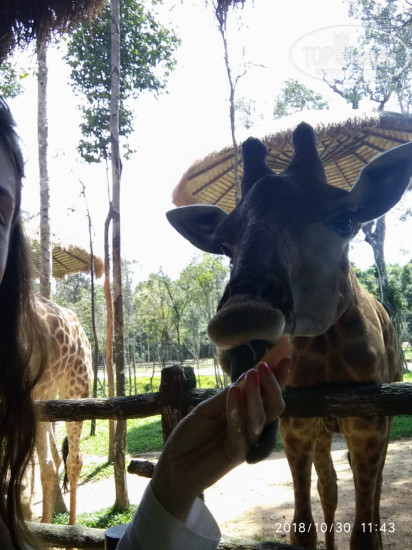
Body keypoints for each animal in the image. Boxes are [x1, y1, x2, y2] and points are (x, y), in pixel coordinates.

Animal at [166, 122, 412, 550]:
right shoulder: (296, 425)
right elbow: (303, 527)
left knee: (373, 492)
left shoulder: (369, 422)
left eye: (345, 221)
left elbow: (364, 530)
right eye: (224, 245)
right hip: (324, 432)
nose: (240, 320)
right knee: (329, 488)